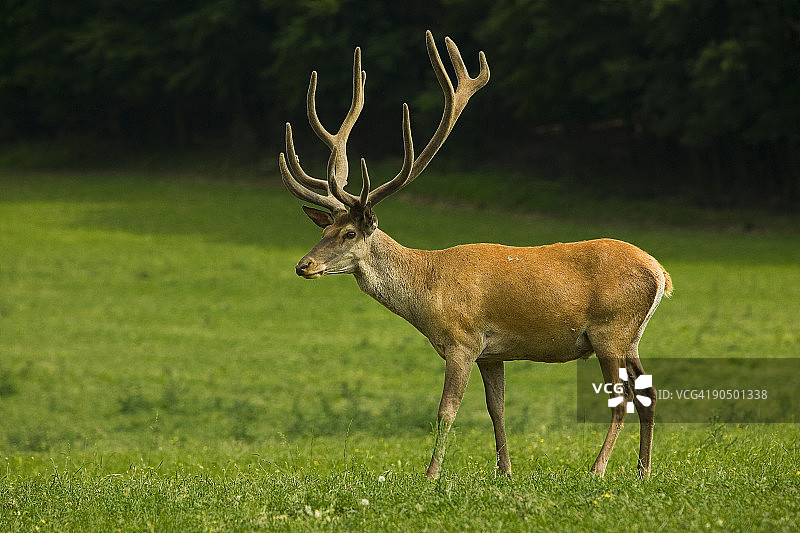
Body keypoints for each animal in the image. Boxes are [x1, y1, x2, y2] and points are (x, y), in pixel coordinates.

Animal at [278, 31, 672, 480]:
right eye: (323, 230)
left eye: (347, 233)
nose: (304, 265)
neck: (427, 291)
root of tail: (661, 274)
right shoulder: (491, 353)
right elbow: (496, 409)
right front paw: (505, 471)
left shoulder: (462, 340)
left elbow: (447, 411)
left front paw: (431, 476)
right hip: (631, 336)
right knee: (649, 392)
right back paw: (642, 470)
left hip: (611, 331)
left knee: (623, 400)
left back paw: (597, 469)